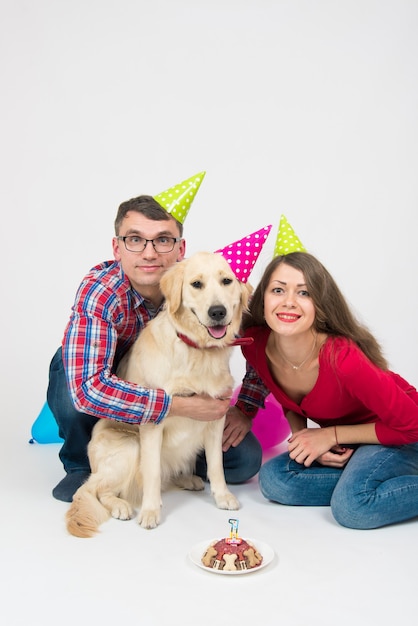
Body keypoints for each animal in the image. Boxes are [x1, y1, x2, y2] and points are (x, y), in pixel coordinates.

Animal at [67, 251, 253, 532]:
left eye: (227, 281)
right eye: (196, 284)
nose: (217, 311)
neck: (197, 350)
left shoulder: (216, 419)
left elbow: (216, 466)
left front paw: (222, 496)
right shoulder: (153, 422)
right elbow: (152, 472)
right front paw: (151, 511)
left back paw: (188, 479)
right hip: (129, 446)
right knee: (94, 489)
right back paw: (120, 505)